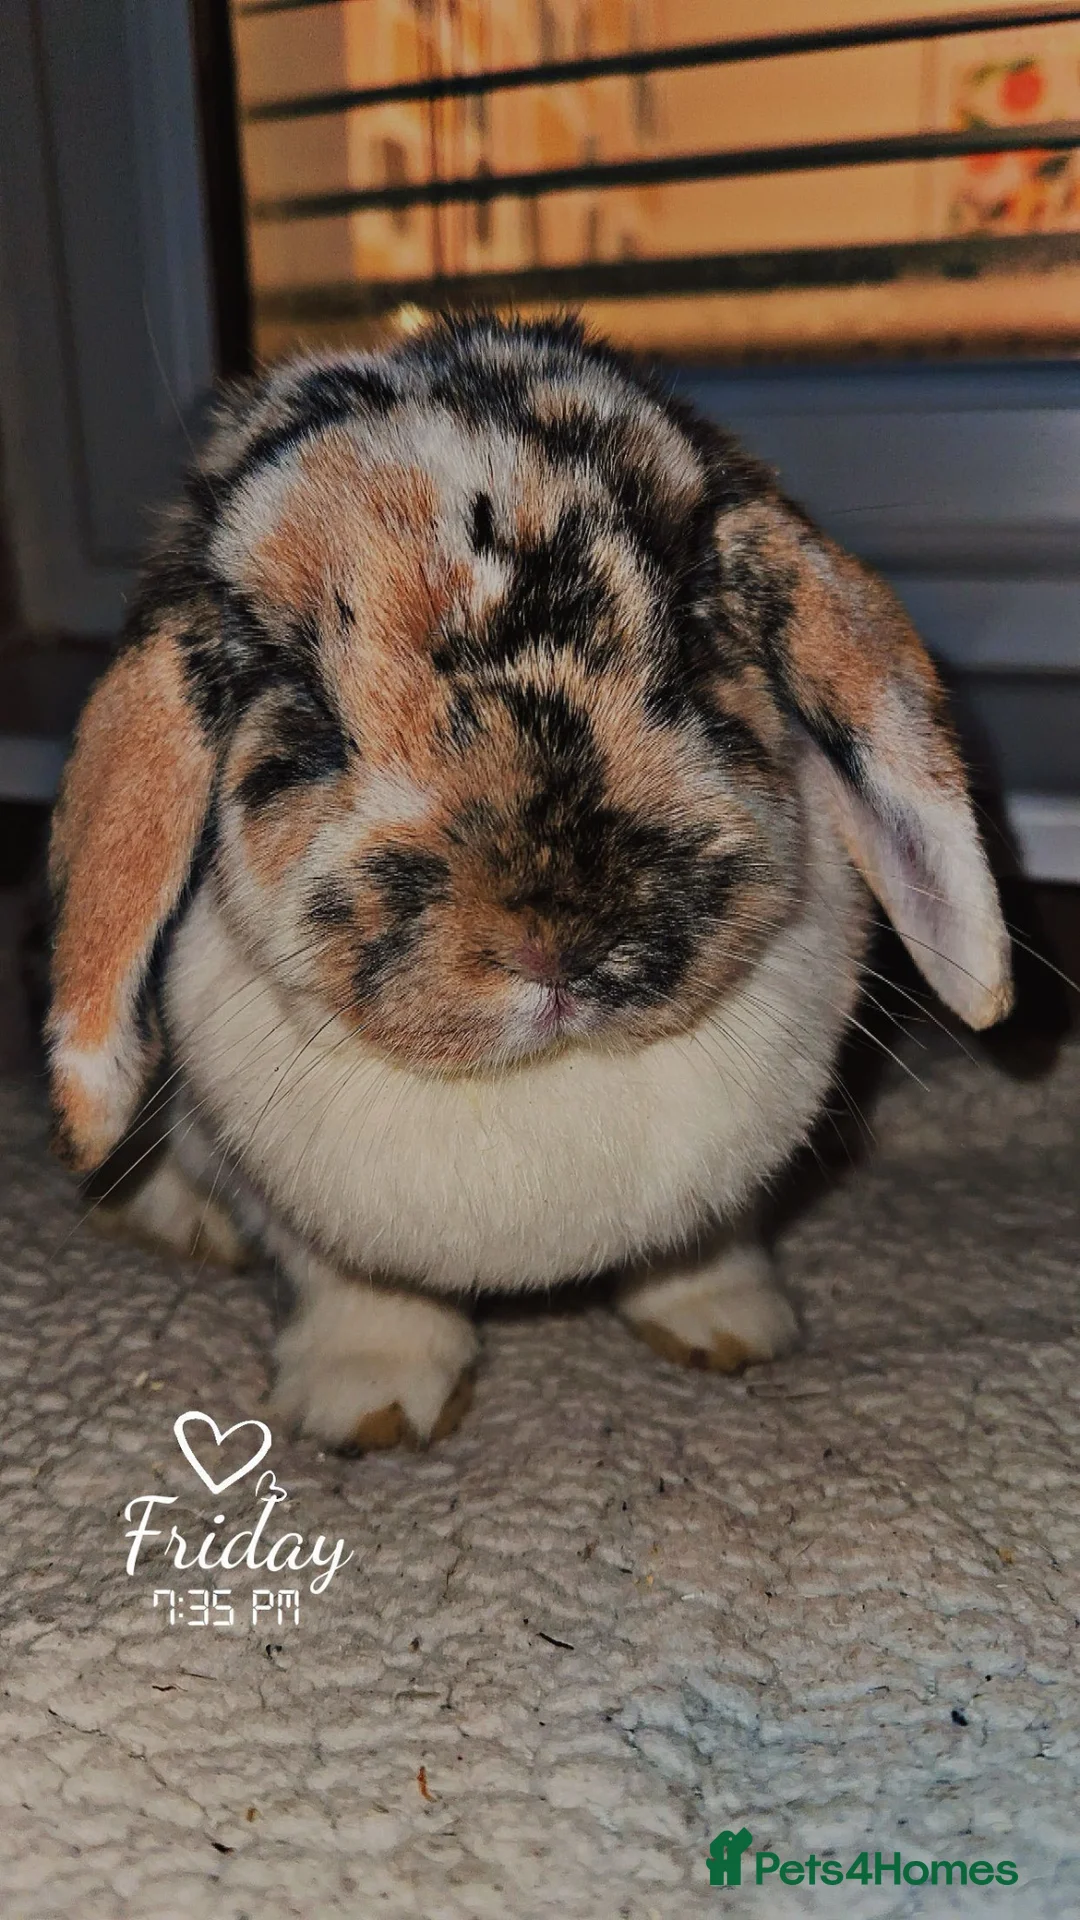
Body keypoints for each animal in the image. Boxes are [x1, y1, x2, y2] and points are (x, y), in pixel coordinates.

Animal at [46, 313, 1013, 1450]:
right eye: (310, 717)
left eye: (692, 643)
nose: (553, 936)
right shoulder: (314, 1217)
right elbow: (355, 1286)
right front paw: (371, 1407)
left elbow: (703, 1253)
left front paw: (733, 1333)